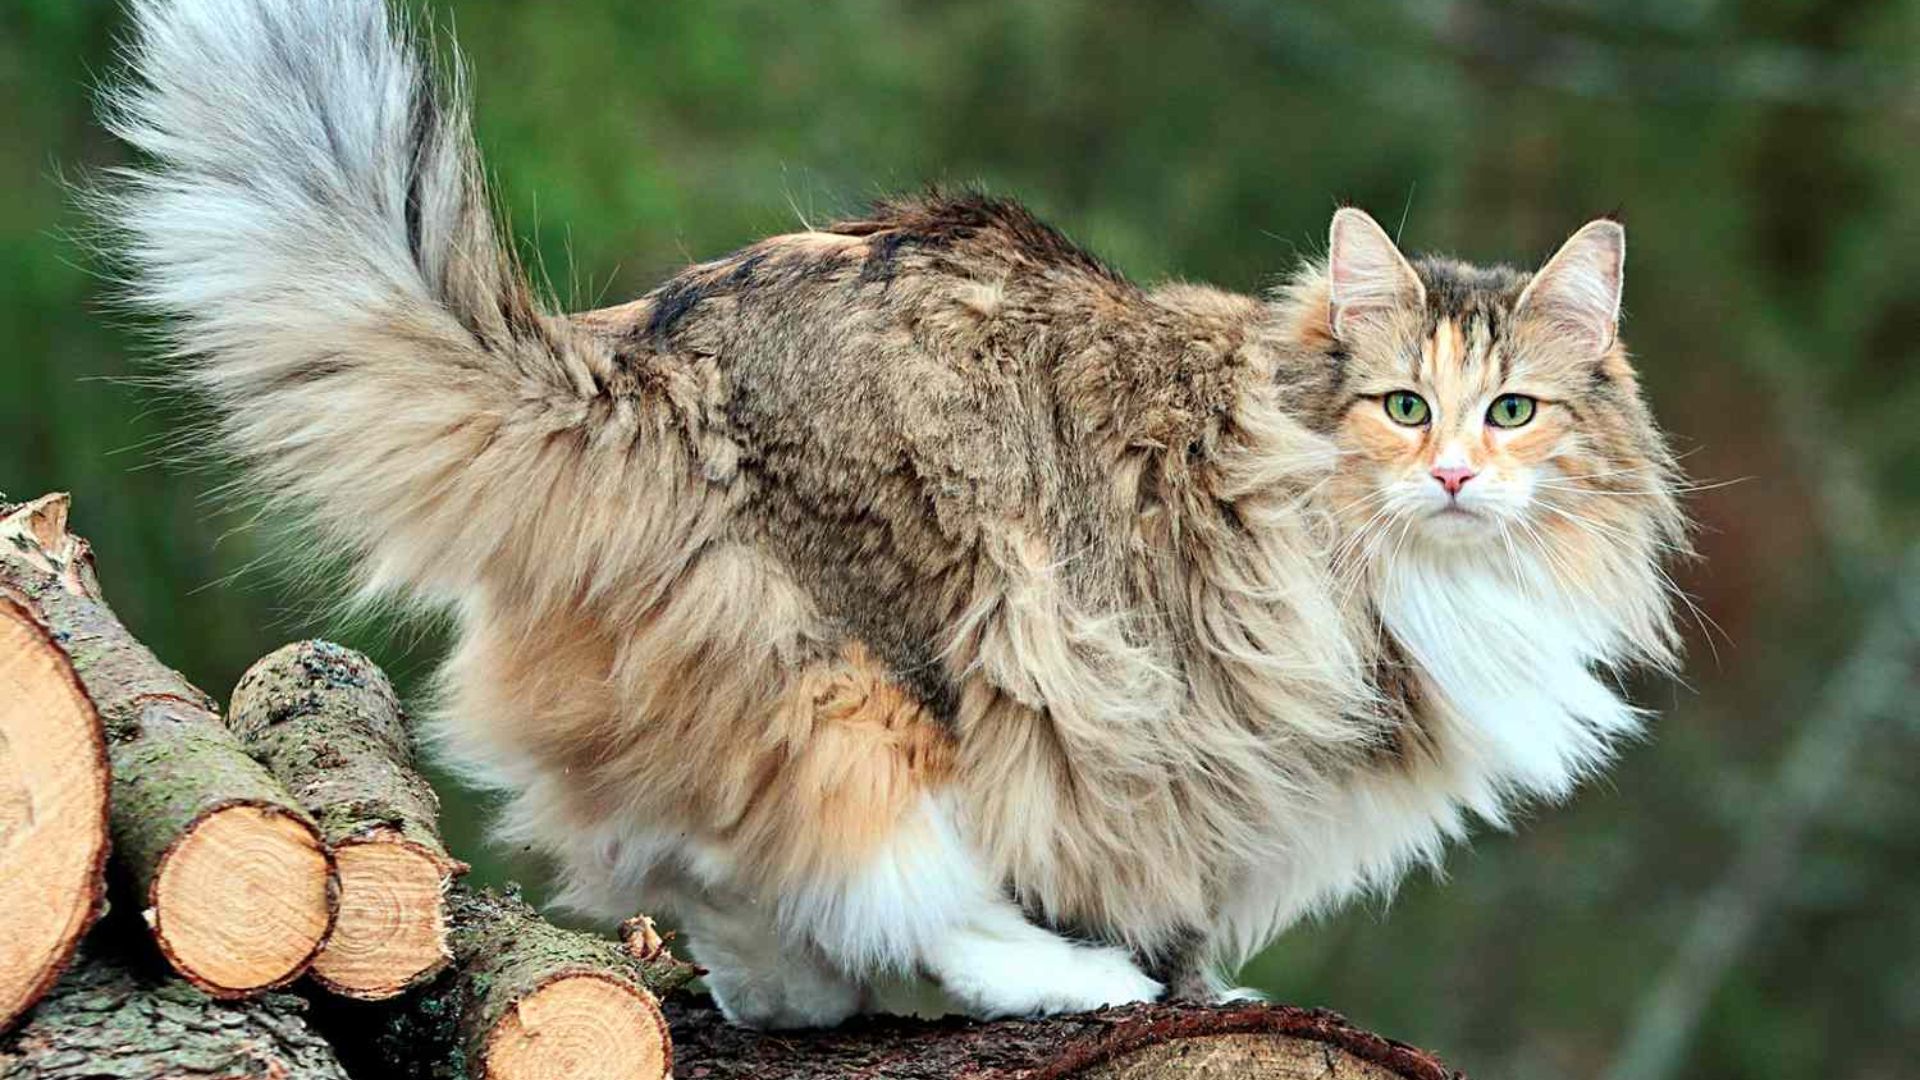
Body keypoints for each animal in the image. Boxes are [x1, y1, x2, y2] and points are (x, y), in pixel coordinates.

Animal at [101, 0, 1681, 1022]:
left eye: (1514, 411)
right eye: (1404, 407)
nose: (1456, 474)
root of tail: (647, 354)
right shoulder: (1220, 729)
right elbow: (1176, 888)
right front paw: (1183, 984)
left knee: (711, 864)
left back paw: (787, 995)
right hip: (901, 659)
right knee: (885, 870)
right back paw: (1051, 983)